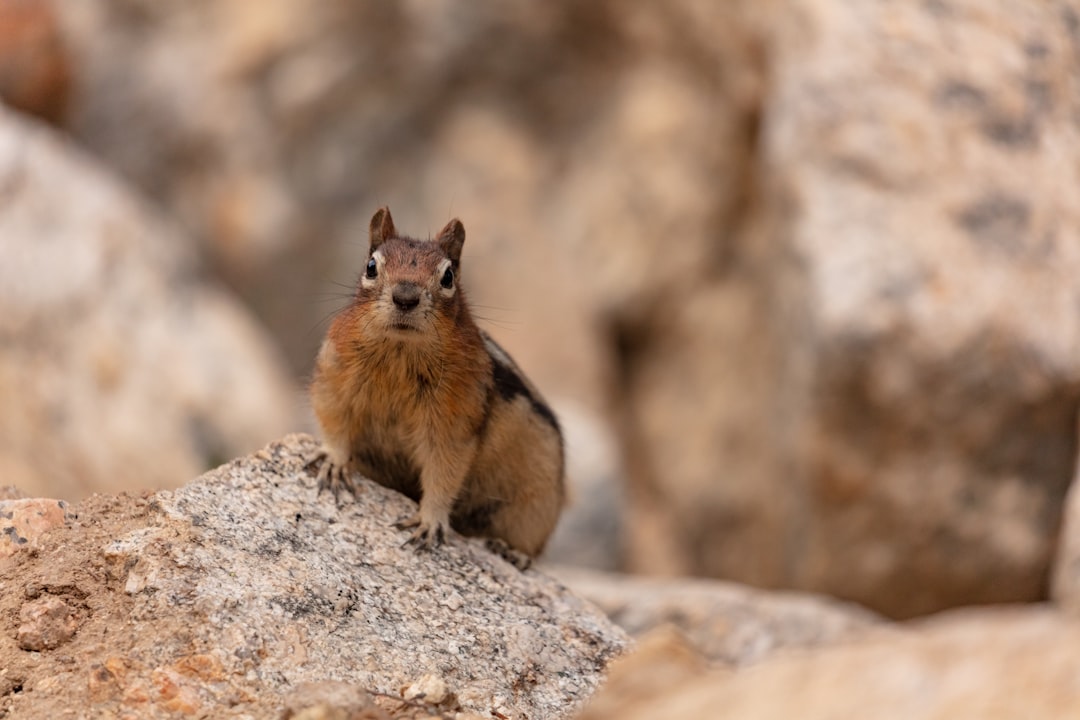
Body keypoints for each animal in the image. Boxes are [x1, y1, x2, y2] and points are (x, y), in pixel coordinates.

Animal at [308, 207, 565, 557]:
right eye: (371, 266)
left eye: (448, 277)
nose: (405, 297)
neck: (400, 353)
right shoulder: (334, 379)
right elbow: (334, 423)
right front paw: (334, 462)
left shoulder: (452, 421)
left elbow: (444, 471)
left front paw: (429, 521)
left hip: (533, 507)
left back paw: (510, 552)